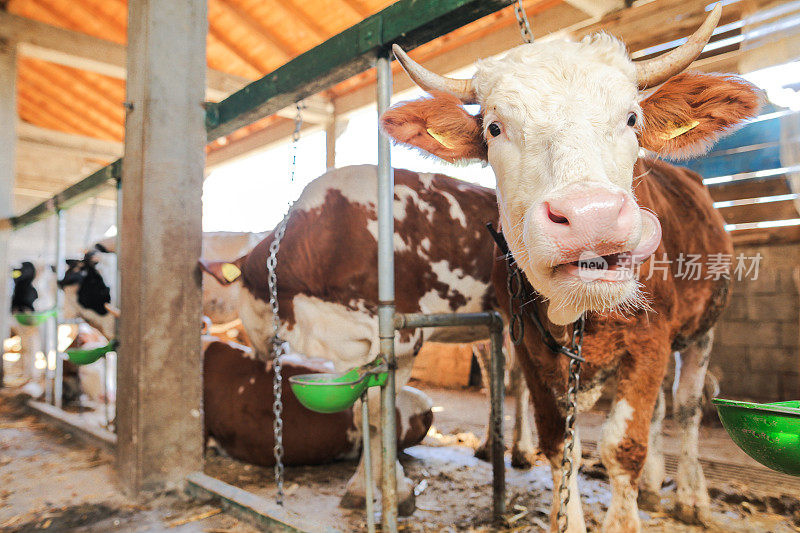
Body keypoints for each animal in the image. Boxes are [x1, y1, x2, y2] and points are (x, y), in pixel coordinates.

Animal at [384, 6, 760, 528]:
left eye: (632, 118)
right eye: (494, 129)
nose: (590, 215)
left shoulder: (650, 340)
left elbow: (623, 447)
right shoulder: (533, 351)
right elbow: (561, 445)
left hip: (702, 328)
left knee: (685, 408)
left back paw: (691, 497)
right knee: (661, 411)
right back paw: (654, 489)